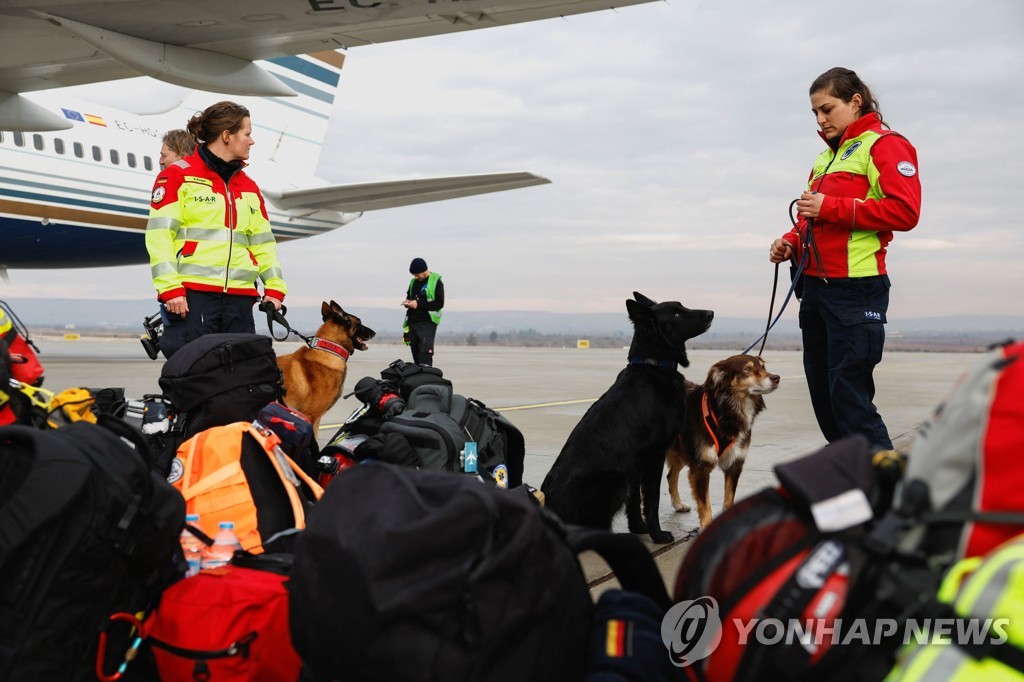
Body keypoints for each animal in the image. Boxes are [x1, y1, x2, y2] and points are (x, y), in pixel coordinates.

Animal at [544, 290, 712, 540]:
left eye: (682, 307)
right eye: (676, 313)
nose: (711, 313)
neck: (654, 365)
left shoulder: (635, 463)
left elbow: (634, 500)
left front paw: (639, 528)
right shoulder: (654, 453)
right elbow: (651, 498)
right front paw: (657, 535)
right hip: (613, 482)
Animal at [663, 352, 774, 528]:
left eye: (763, 366)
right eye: (747, 369)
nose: (776, 378)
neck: (725, 411)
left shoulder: (734, 464)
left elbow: (729, 501)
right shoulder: (701, 466)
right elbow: (705, 506)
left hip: (681, 451)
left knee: (671, 476)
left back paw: (678, 504)